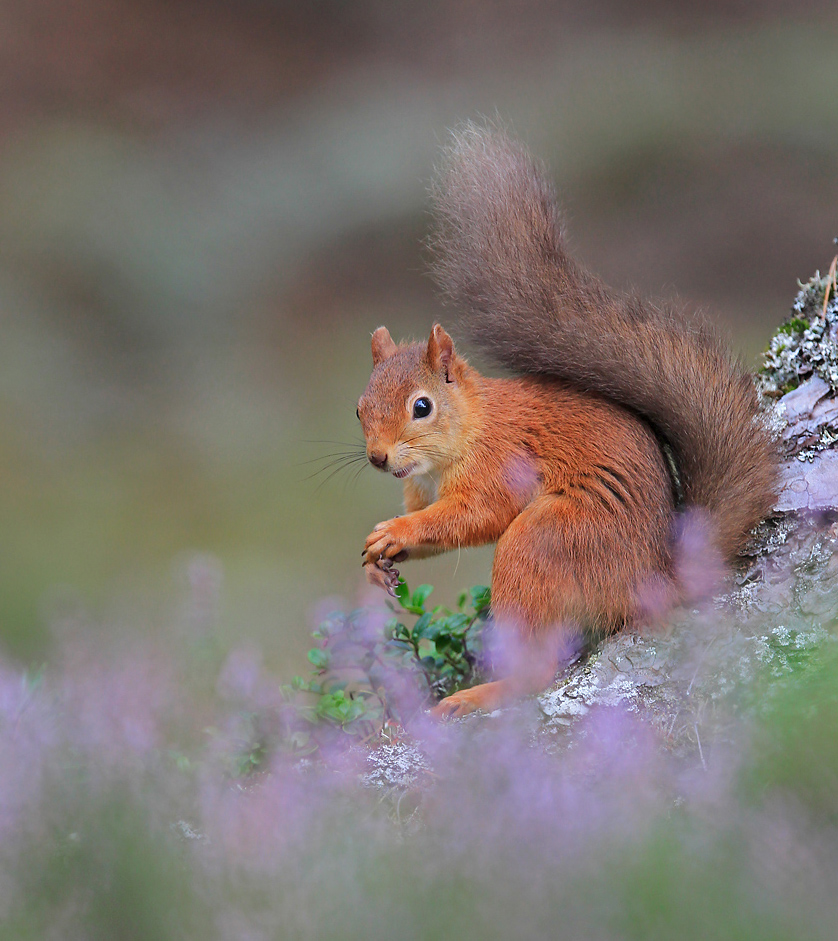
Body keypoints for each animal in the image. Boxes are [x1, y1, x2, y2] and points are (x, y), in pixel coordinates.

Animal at [357, 124, 777, 718]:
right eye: (359, 407)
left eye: (422, 406)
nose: (378, 457)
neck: (459, 441)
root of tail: (651, 582)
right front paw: (381, 558)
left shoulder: (499, 464)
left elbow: (477, 515)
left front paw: (396, 530)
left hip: (545, 543)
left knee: (535, 665)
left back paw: (480, 695)